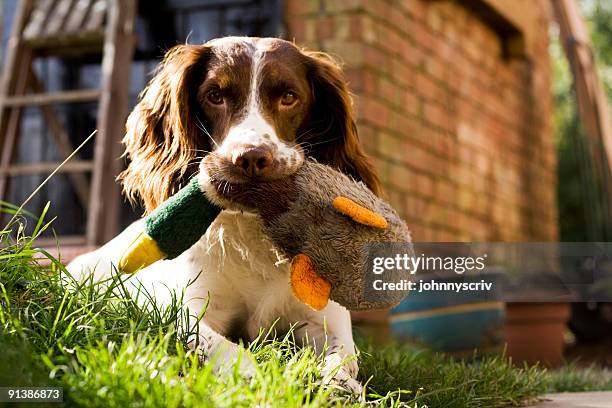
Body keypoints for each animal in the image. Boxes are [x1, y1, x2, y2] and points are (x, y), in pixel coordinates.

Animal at [68, 36, 382, 394]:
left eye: (289, 97)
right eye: (215, 96)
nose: (251, 158)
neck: (252, 236)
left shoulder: (325, 319)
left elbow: (342, 358)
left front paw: (338, 386)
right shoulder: (186, 312)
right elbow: (228, 349)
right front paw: (259, 383)